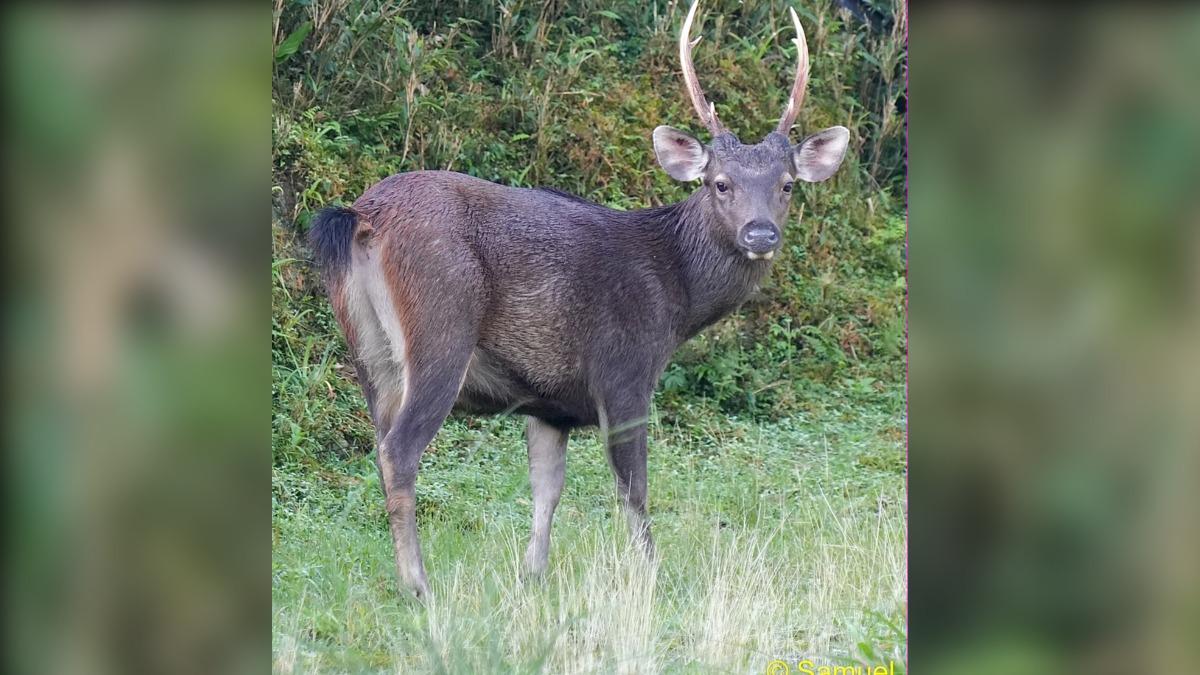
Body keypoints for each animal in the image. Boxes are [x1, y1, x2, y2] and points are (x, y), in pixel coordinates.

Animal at [307, 1, 849, 600]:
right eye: (720, 183)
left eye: (787, 185)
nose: (760, 234)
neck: (677, 296)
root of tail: (361, 216)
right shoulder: (624, 372)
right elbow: (633, 489)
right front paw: (651, 575)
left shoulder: (551, 404)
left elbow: (547, 490)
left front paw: (533, 574)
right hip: (439, 328)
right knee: (400, 450)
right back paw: (418, 585)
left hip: (368, 352)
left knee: (379, 444)